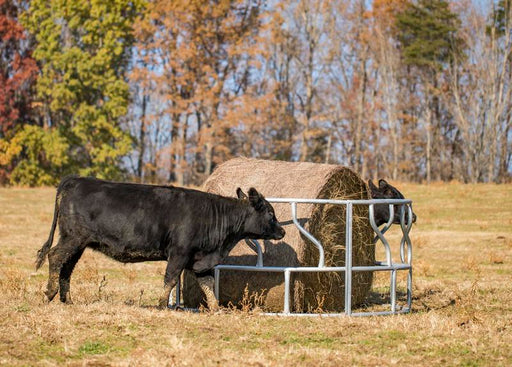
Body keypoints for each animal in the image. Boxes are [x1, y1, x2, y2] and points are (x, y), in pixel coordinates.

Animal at [36, 177, 284, 310]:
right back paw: (49, 293)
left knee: (67, 267)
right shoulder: (179, 252)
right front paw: (162, 305)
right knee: (55, 257)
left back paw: (67, 300)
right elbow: (171, 279)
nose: (282, 230)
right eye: (271, 213)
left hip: (78, 243)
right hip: (73, 238)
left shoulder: (200, 261)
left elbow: (208, 284)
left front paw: (217, 309)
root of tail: (75, 180)